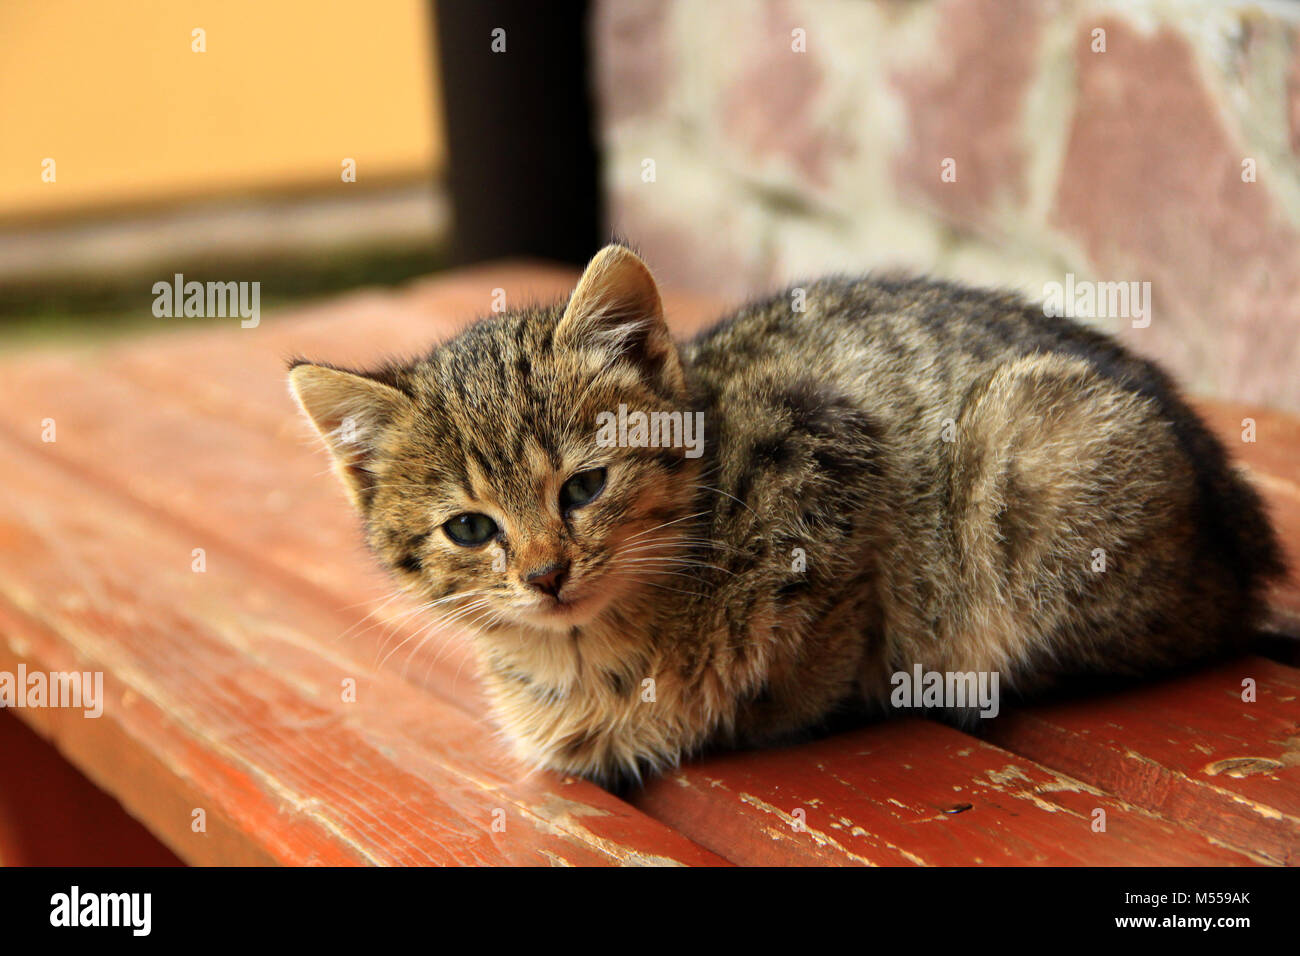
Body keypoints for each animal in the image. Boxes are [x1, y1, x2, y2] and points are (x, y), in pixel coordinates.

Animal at [289, 240, 1284, 785]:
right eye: (469, 528)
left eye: (583, 486)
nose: (545, 574)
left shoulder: (832, 455)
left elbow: (822, 645)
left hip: (1034, 440)